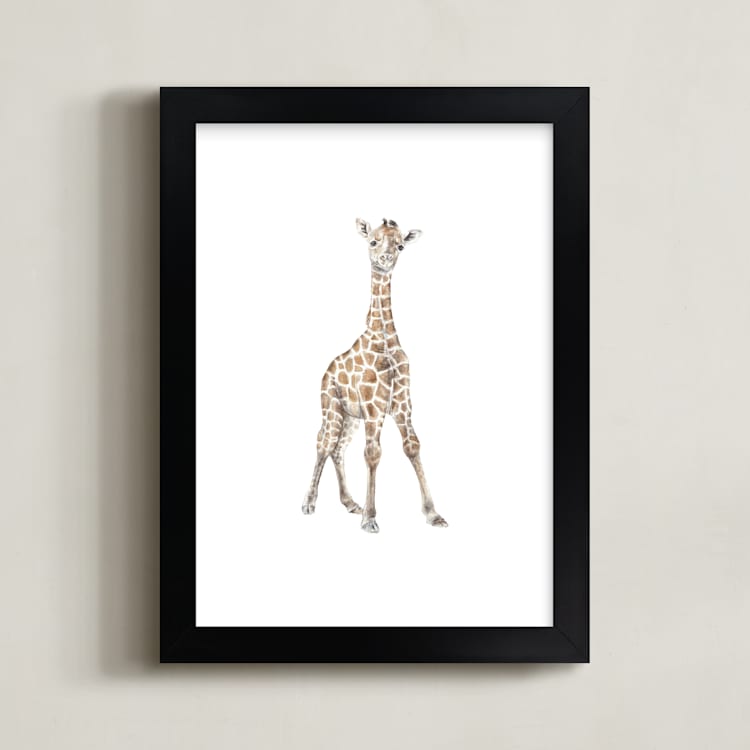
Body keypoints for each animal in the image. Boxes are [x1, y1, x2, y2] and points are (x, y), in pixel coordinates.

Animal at [302, 217, 448, 533]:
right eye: (373, 241)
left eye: (401, 245)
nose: (386, 259)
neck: (385, 343)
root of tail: (325, 372)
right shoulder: (373, 407)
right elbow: (372, 453)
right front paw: (370, 519)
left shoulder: (402, 404)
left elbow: (412, 446)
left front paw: (433, 514)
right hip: (331, 408)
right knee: (323, 443)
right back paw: (308, 503)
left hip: (350, 418)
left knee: (338, 448)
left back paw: (350, 503)